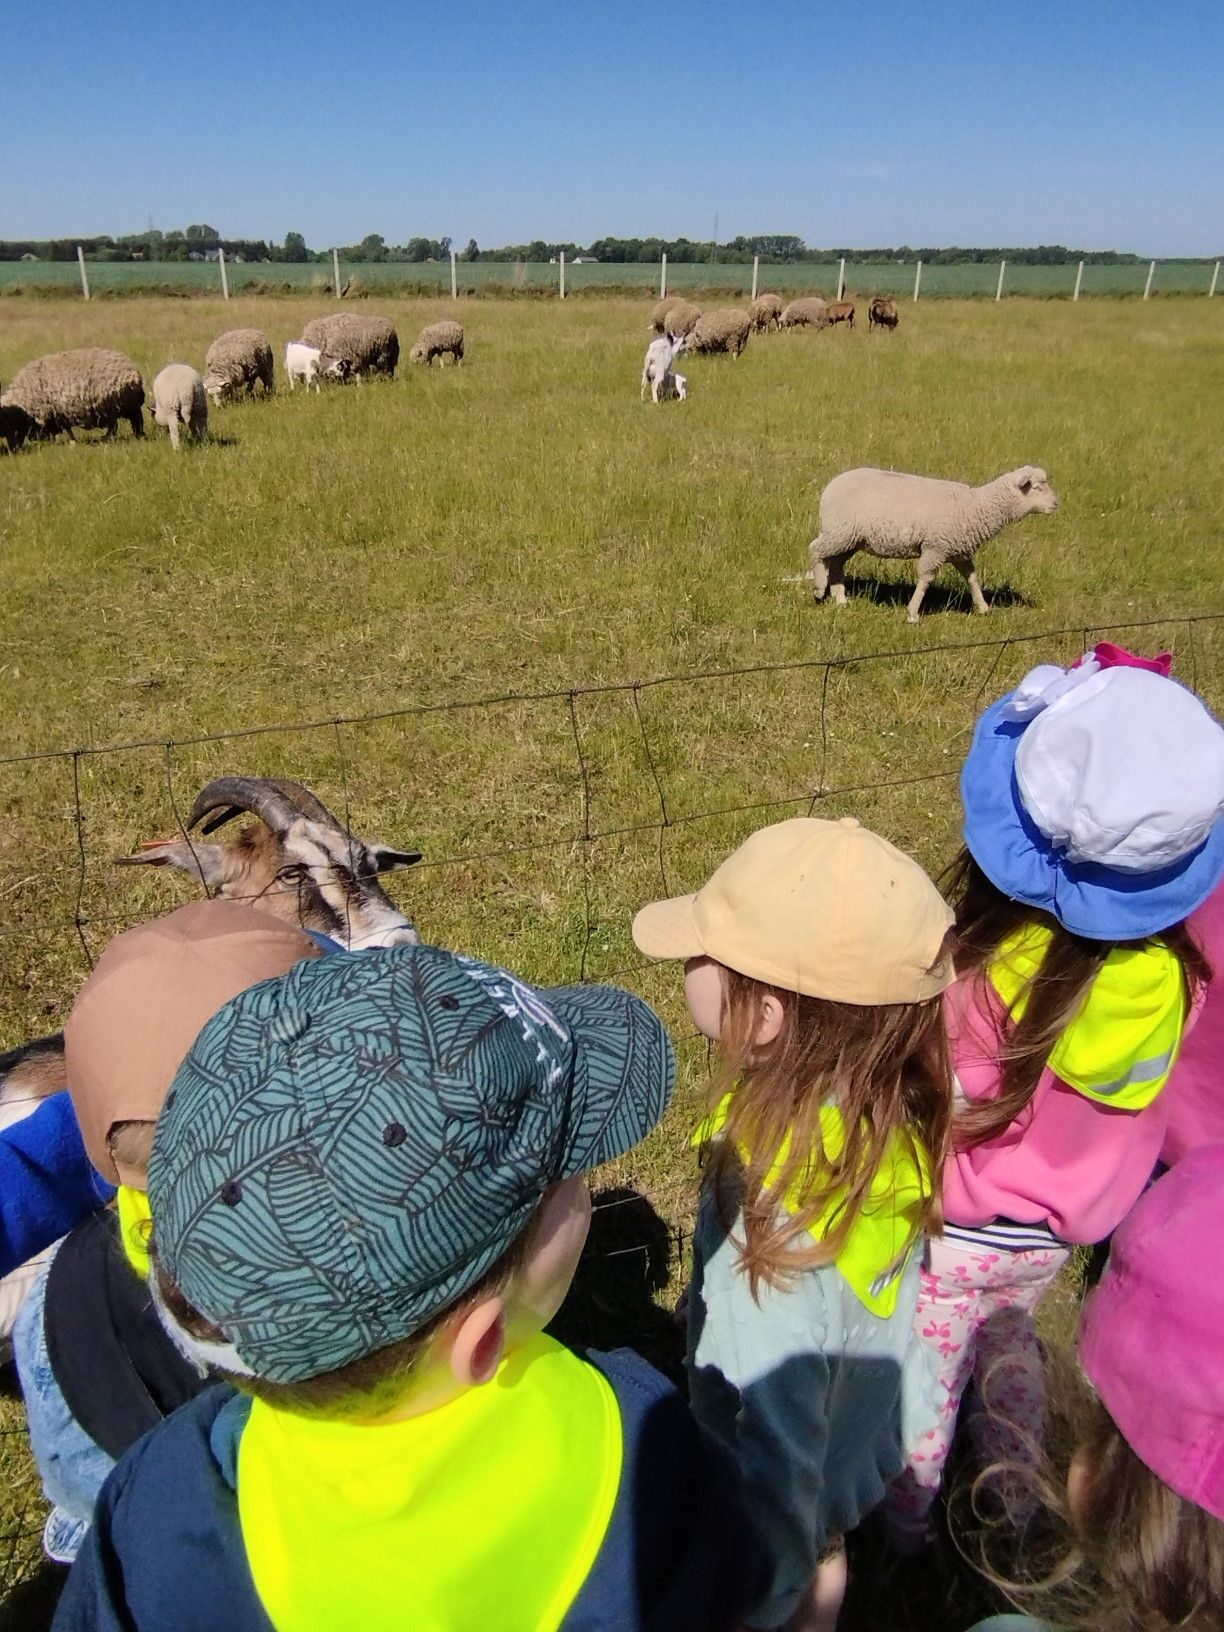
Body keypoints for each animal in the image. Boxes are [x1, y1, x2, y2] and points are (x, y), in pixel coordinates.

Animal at [3, 349, 145, 441]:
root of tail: (133, 373)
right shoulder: (60, 414)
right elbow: (65, 429)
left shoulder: (55, 412)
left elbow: (65, 430)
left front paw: (71, 441)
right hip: (127, 406)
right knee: (134, 421)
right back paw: (138, 435)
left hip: (110, 406)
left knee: (115, 426)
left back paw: (106, 438)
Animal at [807, 465, 1059, 623]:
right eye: (1036, 487)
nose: (1057, 503)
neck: (975, 506)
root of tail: (832, 484)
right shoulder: (935, 547)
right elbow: (926, 579)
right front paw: (912, 613)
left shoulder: (958, 550)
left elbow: (972, 578)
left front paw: (983, 607)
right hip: (839, 530)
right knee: (815, 549)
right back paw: (819, 589)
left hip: (850, 537)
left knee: (835, 563)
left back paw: (840, 599)